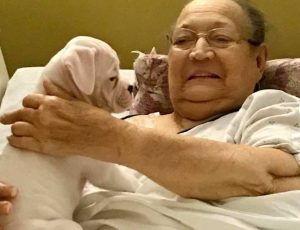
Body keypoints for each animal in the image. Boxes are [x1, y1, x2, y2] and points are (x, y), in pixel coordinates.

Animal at [0, 36, 138, 229]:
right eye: (112, 78)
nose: (133, 86)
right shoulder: (101, 169)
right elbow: (122, 180)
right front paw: (136, 182)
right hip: (64, 225)